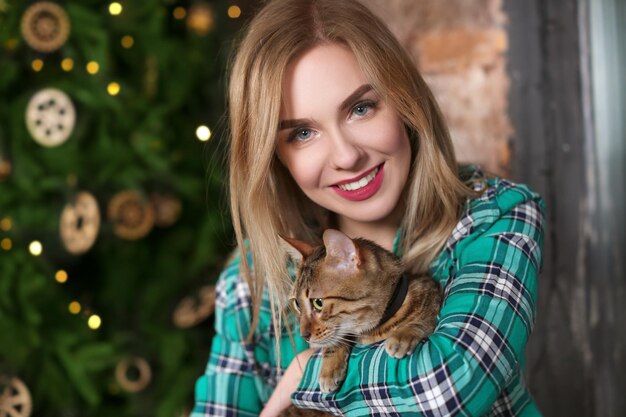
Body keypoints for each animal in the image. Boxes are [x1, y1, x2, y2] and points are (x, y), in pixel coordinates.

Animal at [278, 229, 438, 414]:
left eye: (318, 302)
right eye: (297, 303)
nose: (303, 335)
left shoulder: (432, 291)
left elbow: (423, 319)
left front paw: (403, 335)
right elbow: (336, 339)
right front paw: (329, 369)